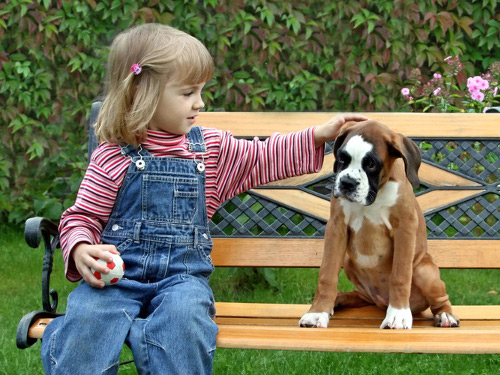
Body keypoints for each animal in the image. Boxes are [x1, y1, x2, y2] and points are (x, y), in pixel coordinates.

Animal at [298, 120, 458, 328]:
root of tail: (381, 301)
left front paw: (398, 315)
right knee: (362, 295)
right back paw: (338, 299)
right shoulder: (336, 228)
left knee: (440, 299)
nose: (347, 183)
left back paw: (445, 316)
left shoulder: (404, 230)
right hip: (349, 262)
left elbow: (400, 276)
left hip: (425, 271)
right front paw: (317, 312)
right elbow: (327, 273)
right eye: (342, 158)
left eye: (371, 164)